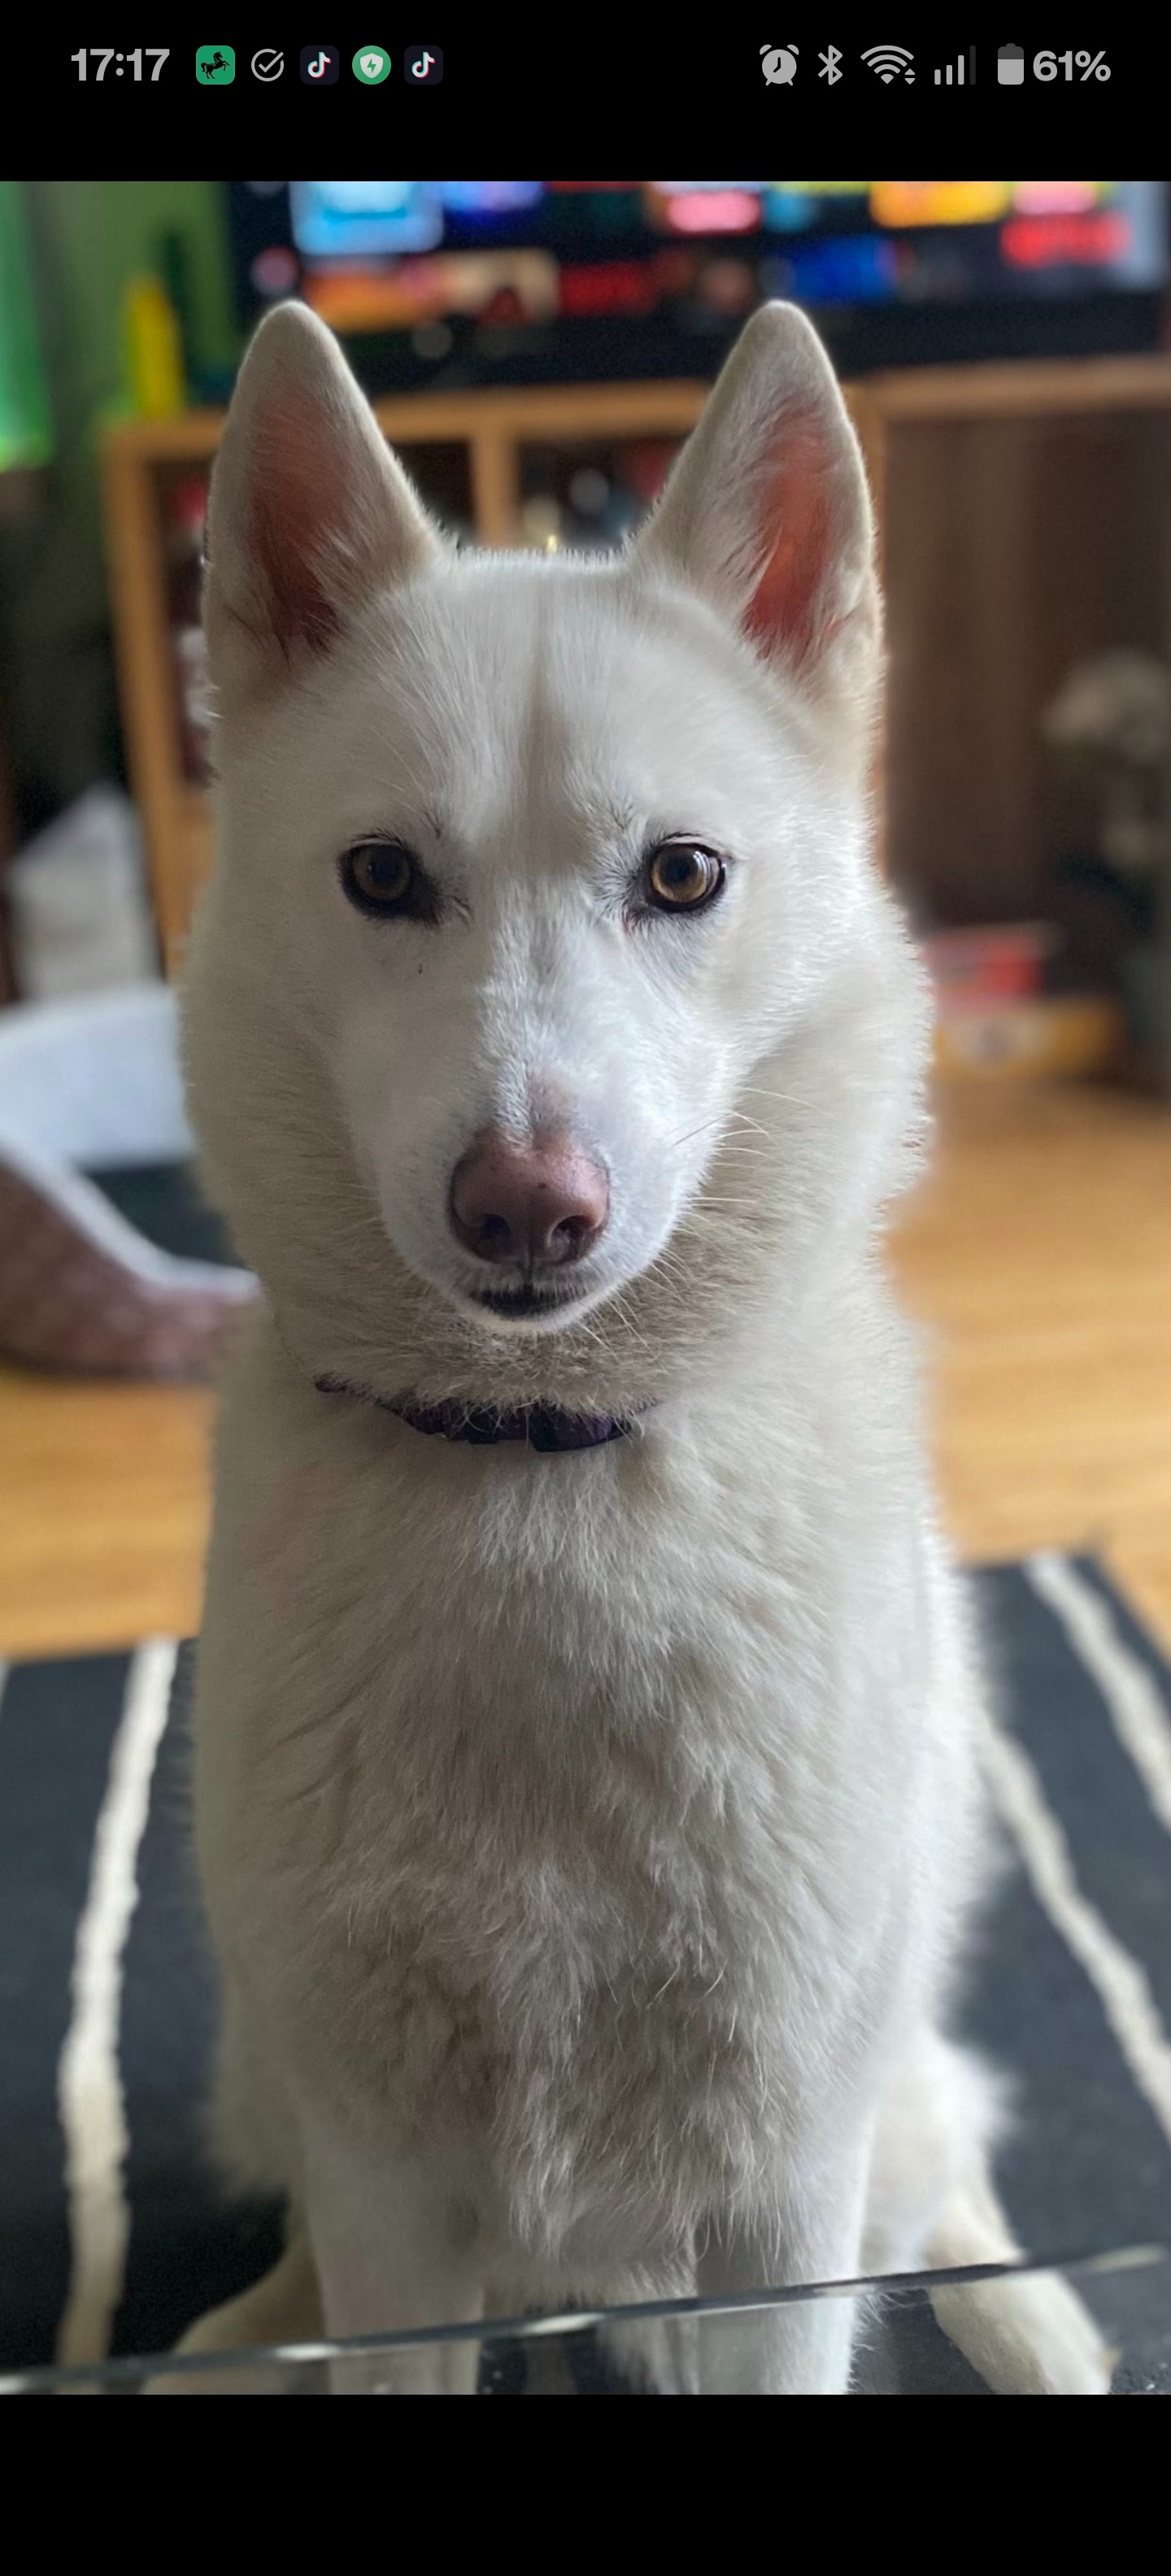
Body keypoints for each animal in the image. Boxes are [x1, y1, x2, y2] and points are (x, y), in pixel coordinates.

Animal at [176, 300, 1111, 2392]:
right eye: (383, 877)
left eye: (680, 875)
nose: (527, 1207)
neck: (543, 1468)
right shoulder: (387, 2188)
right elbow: (366, 2289)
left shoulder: (775, 2190)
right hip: (270, 2060)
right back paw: (238, 2322)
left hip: (874, 2106)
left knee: (945, 2177)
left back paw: (1040, 2320)